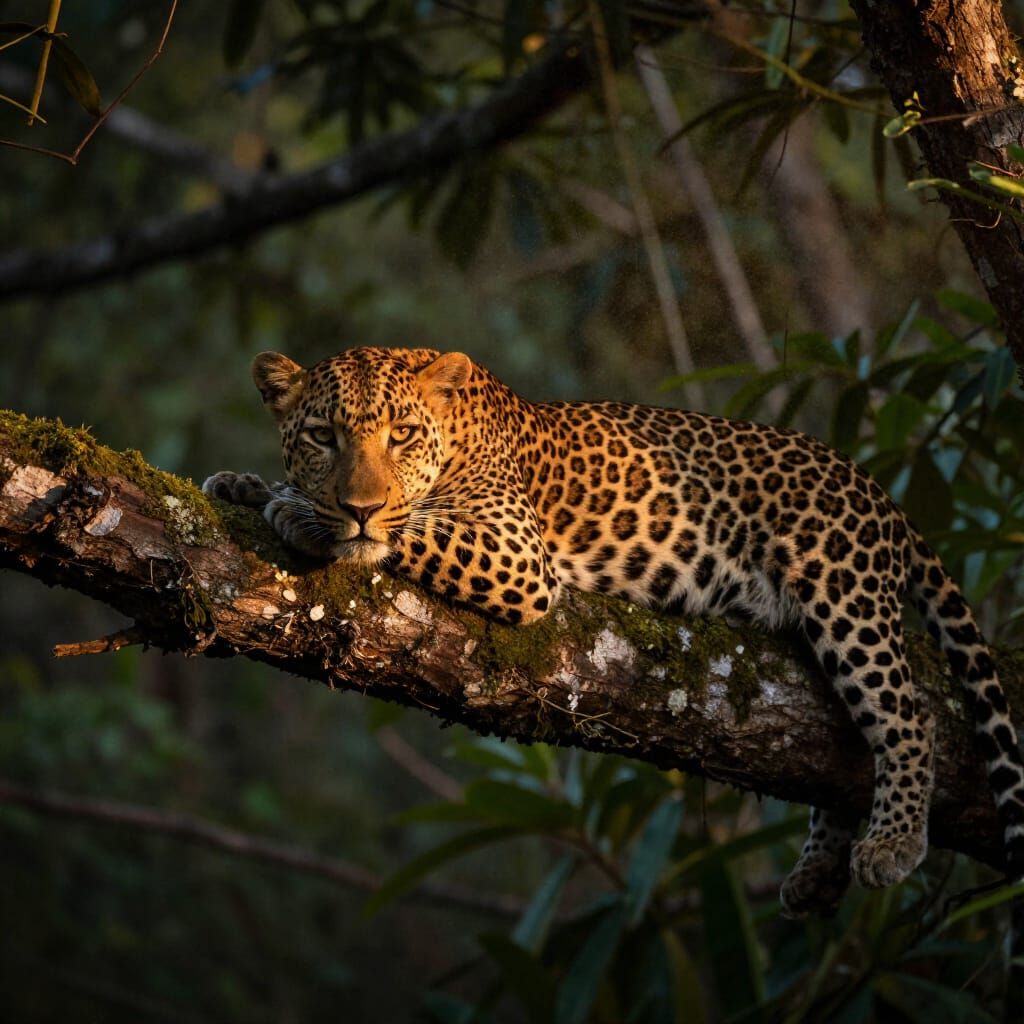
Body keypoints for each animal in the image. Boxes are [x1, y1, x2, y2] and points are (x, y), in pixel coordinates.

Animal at [203, 345, 1024, 916]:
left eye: (402, 435)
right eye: (321, 435)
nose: (360, 506)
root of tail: (878, 491)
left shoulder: (517, 553)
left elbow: (413, 531)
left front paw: (301, 513)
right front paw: (245, 484)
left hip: (841, 588)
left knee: (906, 715)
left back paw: (891, 843)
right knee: (838, 750)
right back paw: (818, 873)